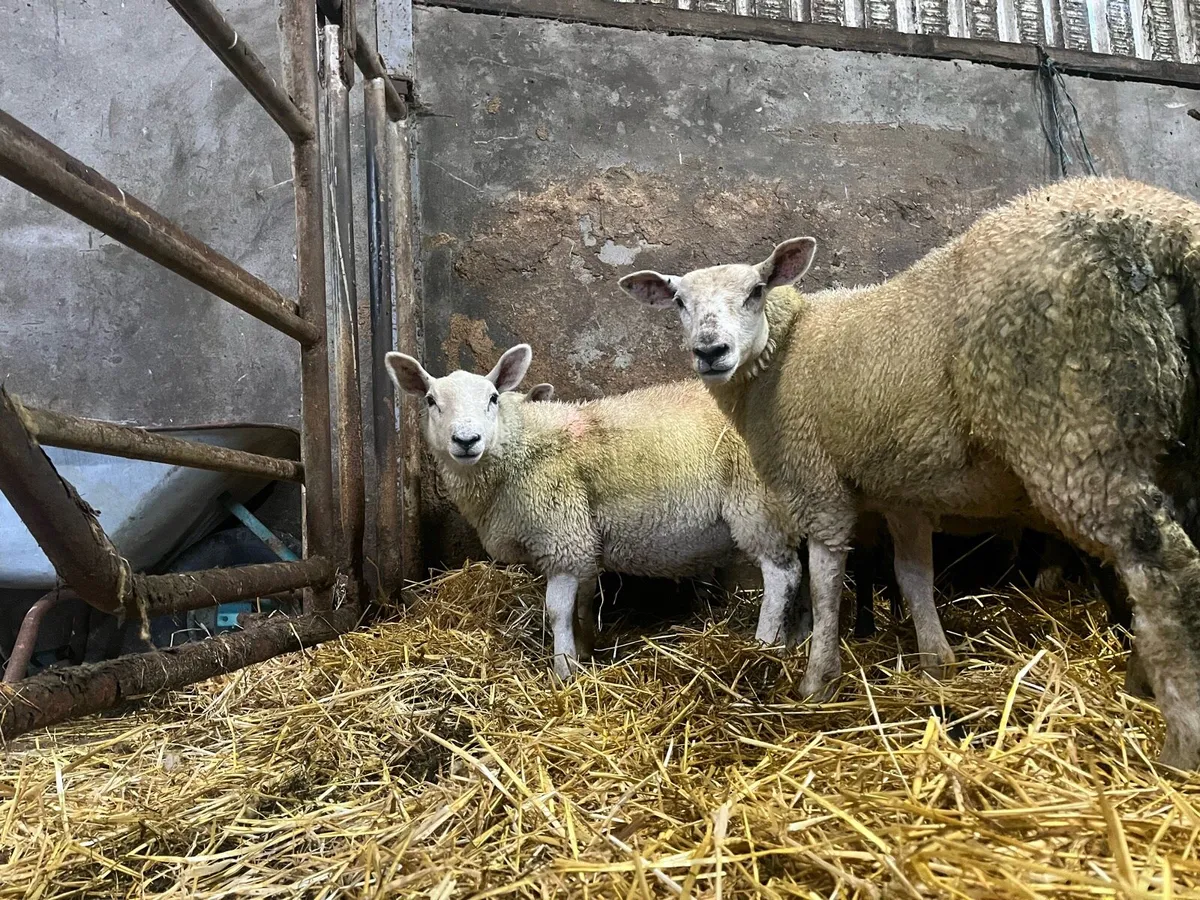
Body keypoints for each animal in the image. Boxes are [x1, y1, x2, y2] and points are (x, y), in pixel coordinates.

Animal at [384, 344, 808, 678]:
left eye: (492, 398)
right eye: (431, 401)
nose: (466, 440)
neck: (520, 444)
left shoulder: (561, 535)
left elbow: (556, 610)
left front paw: (563, 670)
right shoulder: (583, 542)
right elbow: (583, 601)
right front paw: (585, 650)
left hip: (758, 503)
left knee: (782, 575)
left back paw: (765, 646)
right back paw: (798, 638)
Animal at [618, 176, 1200, 769]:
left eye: (756, 291)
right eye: (680, 302)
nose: (710, 351)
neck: (788, 350)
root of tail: (1167, 238)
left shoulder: (817, 482)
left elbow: (826, 583)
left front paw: (817, 681)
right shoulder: (902, 489)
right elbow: (913, 574)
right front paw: (936, 661)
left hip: (1078, 422)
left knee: (1165, 570)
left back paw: (1180, 742)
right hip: (1170, 444)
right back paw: (1141, 683)